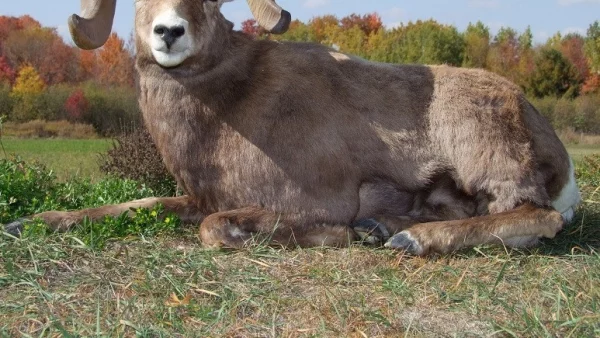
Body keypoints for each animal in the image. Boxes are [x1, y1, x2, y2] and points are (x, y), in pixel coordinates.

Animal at [4, 0, 580, 254]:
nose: (170, 32)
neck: (225, 113)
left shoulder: (297, 202)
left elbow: (219, 229)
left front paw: (343, 234)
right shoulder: (195, 197)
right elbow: (126, 206)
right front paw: (27, 224)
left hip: (490, 159)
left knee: (538, 216)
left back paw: (407, 239)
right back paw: (384, 228)